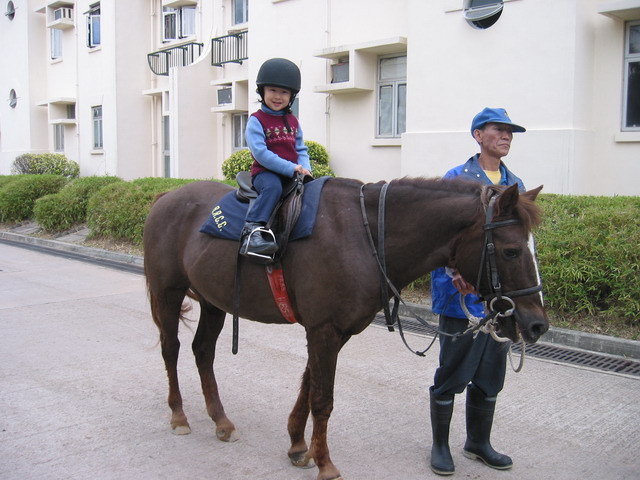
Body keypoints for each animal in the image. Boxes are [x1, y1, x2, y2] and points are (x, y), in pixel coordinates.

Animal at [143, 176, 548, 480]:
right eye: (511, 250)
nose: (536, 324)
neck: (364, 235)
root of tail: (166, 198)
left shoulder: (332, 332)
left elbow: (309, 386)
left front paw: (298, 445)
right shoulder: (323, 330)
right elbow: (323, 399)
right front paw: (324, 463)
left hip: (214, 302)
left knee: (202, 352)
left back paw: (221, 420)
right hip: (168, 293)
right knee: (171, 349)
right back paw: (178, 415)